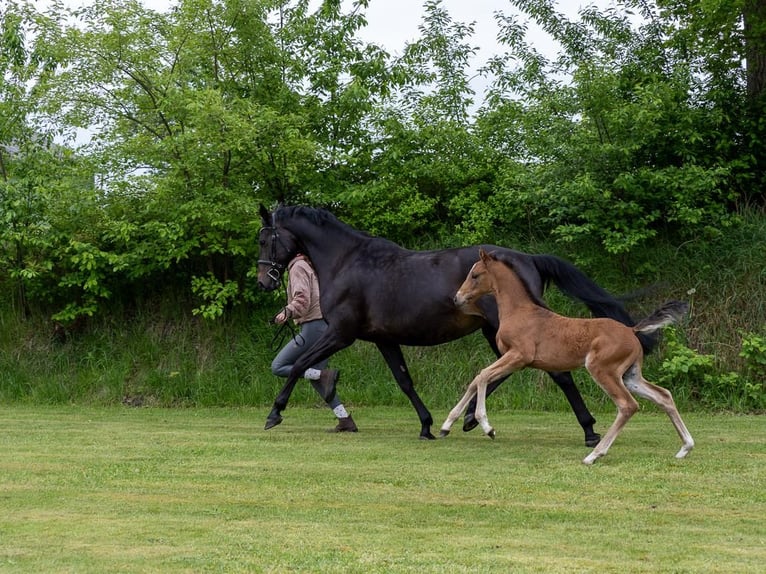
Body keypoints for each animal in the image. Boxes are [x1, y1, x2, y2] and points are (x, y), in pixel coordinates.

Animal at [257, 205, 654, 442]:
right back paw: (469, 419)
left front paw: (274, 413)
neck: (347, 262)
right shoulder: (384, 339)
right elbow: (404, 380)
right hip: (495, 332)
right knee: (504, 372)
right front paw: (426, 425)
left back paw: (587, 431)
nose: (264, 281)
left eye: (266, 238)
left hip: (502, 331)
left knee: (553, 374)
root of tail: (528, 258)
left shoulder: (341, 333)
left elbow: (300, 365)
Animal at [440, 249, 694, 464]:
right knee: (663, 396)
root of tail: (632, 331)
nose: (457, 298)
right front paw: (446, 425)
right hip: (630, 376)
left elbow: (482, 376)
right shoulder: (514, 360)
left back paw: (594, 455)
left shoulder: (519, 356)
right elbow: (476, 379)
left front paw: (487, 426)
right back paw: (685, 447)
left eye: (475, 275)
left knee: (627, 405)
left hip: (603, 370)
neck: (520, 311)